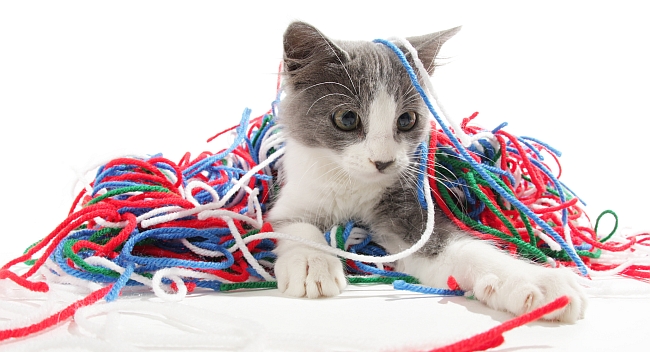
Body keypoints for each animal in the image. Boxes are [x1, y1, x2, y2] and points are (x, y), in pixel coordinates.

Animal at [266, 20, 584, 322]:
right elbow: (296, 226)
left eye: (407, 119)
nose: (383, 162)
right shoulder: (293, 195)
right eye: (346, 118)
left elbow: (456, 248)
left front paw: (538, 281)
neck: (354, 185)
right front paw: (312, 264)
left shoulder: (408, 201)